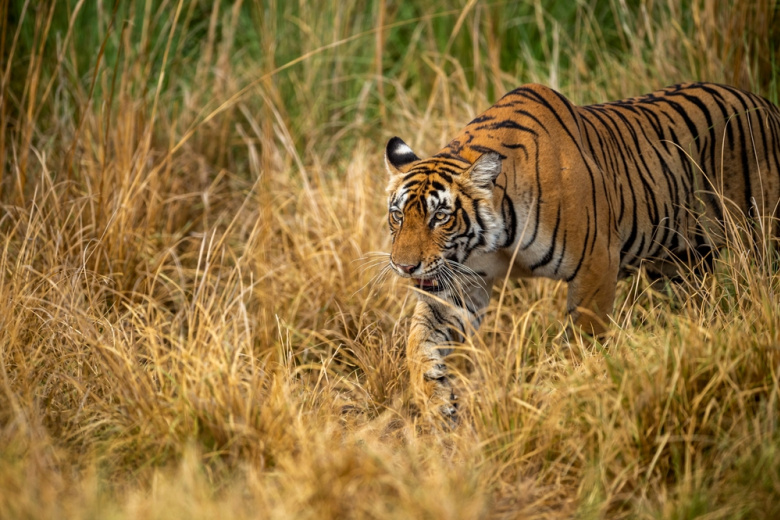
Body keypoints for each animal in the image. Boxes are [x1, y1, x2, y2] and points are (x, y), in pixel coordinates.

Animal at [383, 82, 780, 415]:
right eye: (398, 216)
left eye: (440, 217)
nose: (404, 267)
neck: (497, 240)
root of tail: (765, 102)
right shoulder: (462, 283)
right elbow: (421, 341)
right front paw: (435, 401)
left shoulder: (597, 264)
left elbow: (584, 339)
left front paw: (575, 390)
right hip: (681, 264)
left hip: (760, 239)